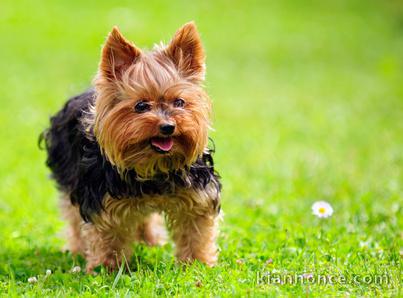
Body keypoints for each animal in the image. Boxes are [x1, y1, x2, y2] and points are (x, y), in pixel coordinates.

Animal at [40, 22, 223, 272]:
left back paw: (150, 240)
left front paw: (197, 263)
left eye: (179, 102)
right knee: (74, 218)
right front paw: (107, 268)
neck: (153, 166)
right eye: (141, 106)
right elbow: (107, 235)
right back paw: (78, 250)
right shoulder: (101, 200)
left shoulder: (197, 195)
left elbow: (195, 229)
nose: (168, 126)